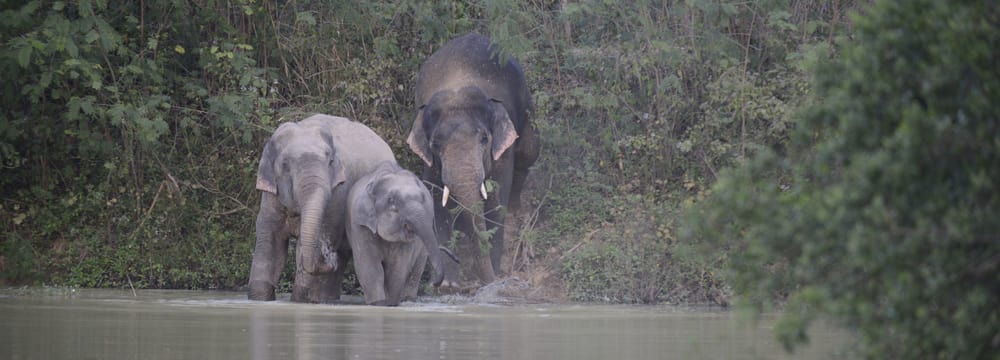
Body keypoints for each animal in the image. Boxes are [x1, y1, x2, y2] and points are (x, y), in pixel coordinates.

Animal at [246, 114, 394, 302]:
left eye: (330, 162)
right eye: (285, 165)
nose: (329, 256)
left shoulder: (338, 195)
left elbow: (308, 243)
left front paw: (300, 299)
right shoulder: (271, 197)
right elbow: (270, 241)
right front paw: (259, 298)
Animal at [346, 162, 458, 306]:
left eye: (423, 199)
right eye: (391, 200)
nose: (435, 284)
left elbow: (398, 266)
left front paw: (391, 303)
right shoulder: (360, 224)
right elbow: (370, 266)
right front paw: (379, 303)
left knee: (416, 269)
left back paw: (408, 299)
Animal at [408, 33, 544, 286]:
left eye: (484, 139)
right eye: (435, 145)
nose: (488, 280)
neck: (457, 86)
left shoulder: (501, 153)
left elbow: (496, 200)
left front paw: (495, 273)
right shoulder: (431, 164)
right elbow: (435, 201)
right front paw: (450, 285)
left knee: (528, 155)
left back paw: (516, 207)